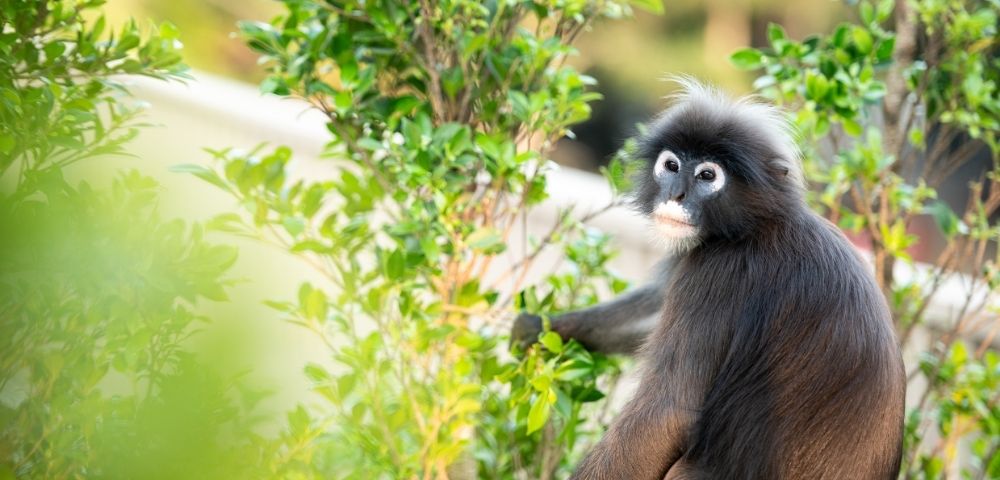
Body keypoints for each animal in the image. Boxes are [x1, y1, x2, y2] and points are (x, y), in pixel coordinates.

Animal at [512, 79, 906, 480]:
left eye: (707, 176)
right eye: (671, 166)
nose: (676, 194)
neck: (757, 226)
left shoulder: (720, 271)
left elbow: (664, 416)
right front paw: (536, 328)